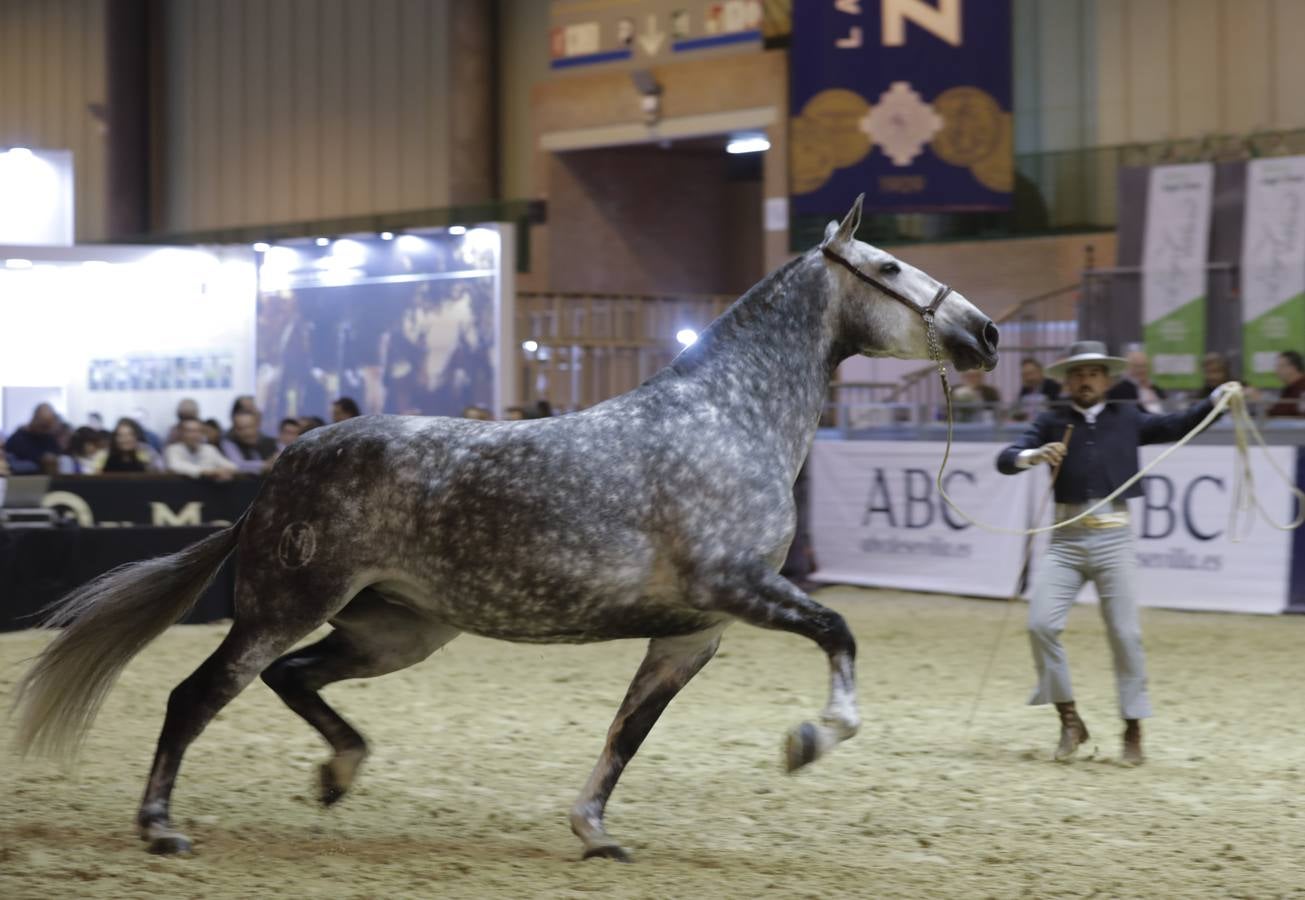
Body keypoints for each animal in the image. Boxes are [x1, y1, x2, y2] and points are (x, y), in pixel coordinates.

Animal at [13, 195, 998, 862]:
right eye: (889, 269)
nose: (986, 331)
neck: (727, 418)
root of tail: (279, 469)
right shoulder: (740, 589)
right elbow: (838, 631)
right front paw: (810, 740)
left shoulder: (693, 635)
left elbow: (625, 736)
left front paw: (592, 833)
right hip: (282, 608)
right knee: (198, 696)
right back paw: (161, 828)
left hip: (396, 631)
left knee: (293, 681)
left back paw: (338, 775)